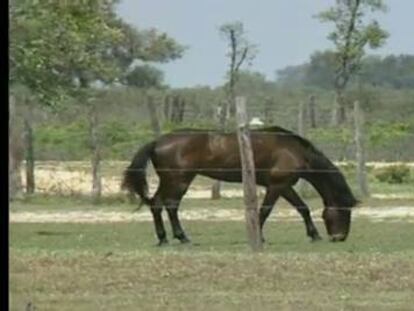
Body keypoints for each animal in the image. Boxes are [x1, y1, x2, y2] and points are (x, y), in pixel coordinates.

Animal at [121, 126, 358, 246]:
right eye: (344, 211)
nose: (340, 237)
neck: (293, 149)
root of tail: (157, 142)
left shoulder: (283, 186)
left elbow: (303, 208)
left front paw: (314, 234)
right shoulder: (277, 185)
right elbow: (265, 211)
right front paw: (259, 237)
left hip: (170, 181)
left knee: (157, 204)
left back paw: (164, 238)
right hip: (179, 181)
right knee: (170, 205)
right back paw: (181, 237)